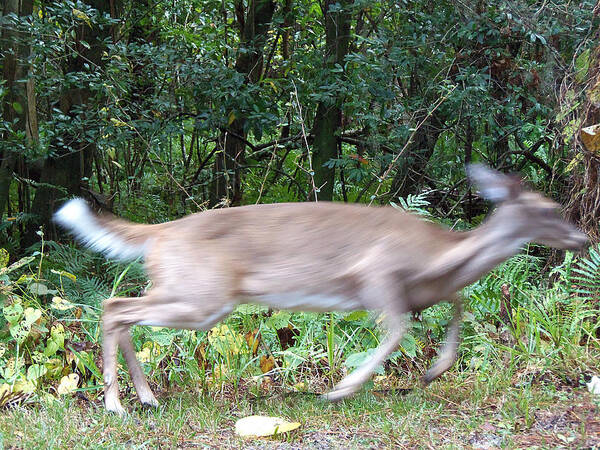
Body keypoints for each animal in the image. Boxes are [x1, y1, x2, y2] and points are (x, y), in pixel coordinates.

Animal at [51, 163, 584, 414]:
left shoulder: (423, 288)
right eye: (549, 209)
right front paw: (340, 390)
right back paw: (118, 402)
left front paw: (435, 370)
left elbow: (459, 303)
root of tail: (161, 232)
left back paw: (147, 398)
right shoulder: (377, 274)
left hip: (194, 295)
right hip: (202, 295)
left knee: (122, 310)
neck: (440, 253)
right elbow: (396, 331)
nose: (581, 237)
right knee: (113, 306)